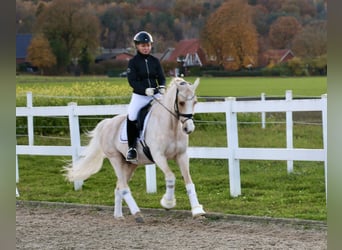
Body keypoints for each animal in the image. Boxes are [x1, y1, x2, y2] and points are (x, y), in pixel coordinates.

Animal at [64, 77, 204, 222]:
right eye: (181, 102)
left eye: (195, 102)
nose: (188, 129)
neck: (171, 126)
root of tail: (107, 123)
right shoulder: (159, 156)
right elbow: (171, 177)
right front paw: (167, 203)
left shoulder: (182, 155)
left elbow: (189, 181)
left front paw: (197, 211)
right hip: (115, 159)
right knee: (123, 187)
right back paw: (137, 213)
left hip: (130, 164)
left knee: (119, 186)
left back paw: (119, 215)